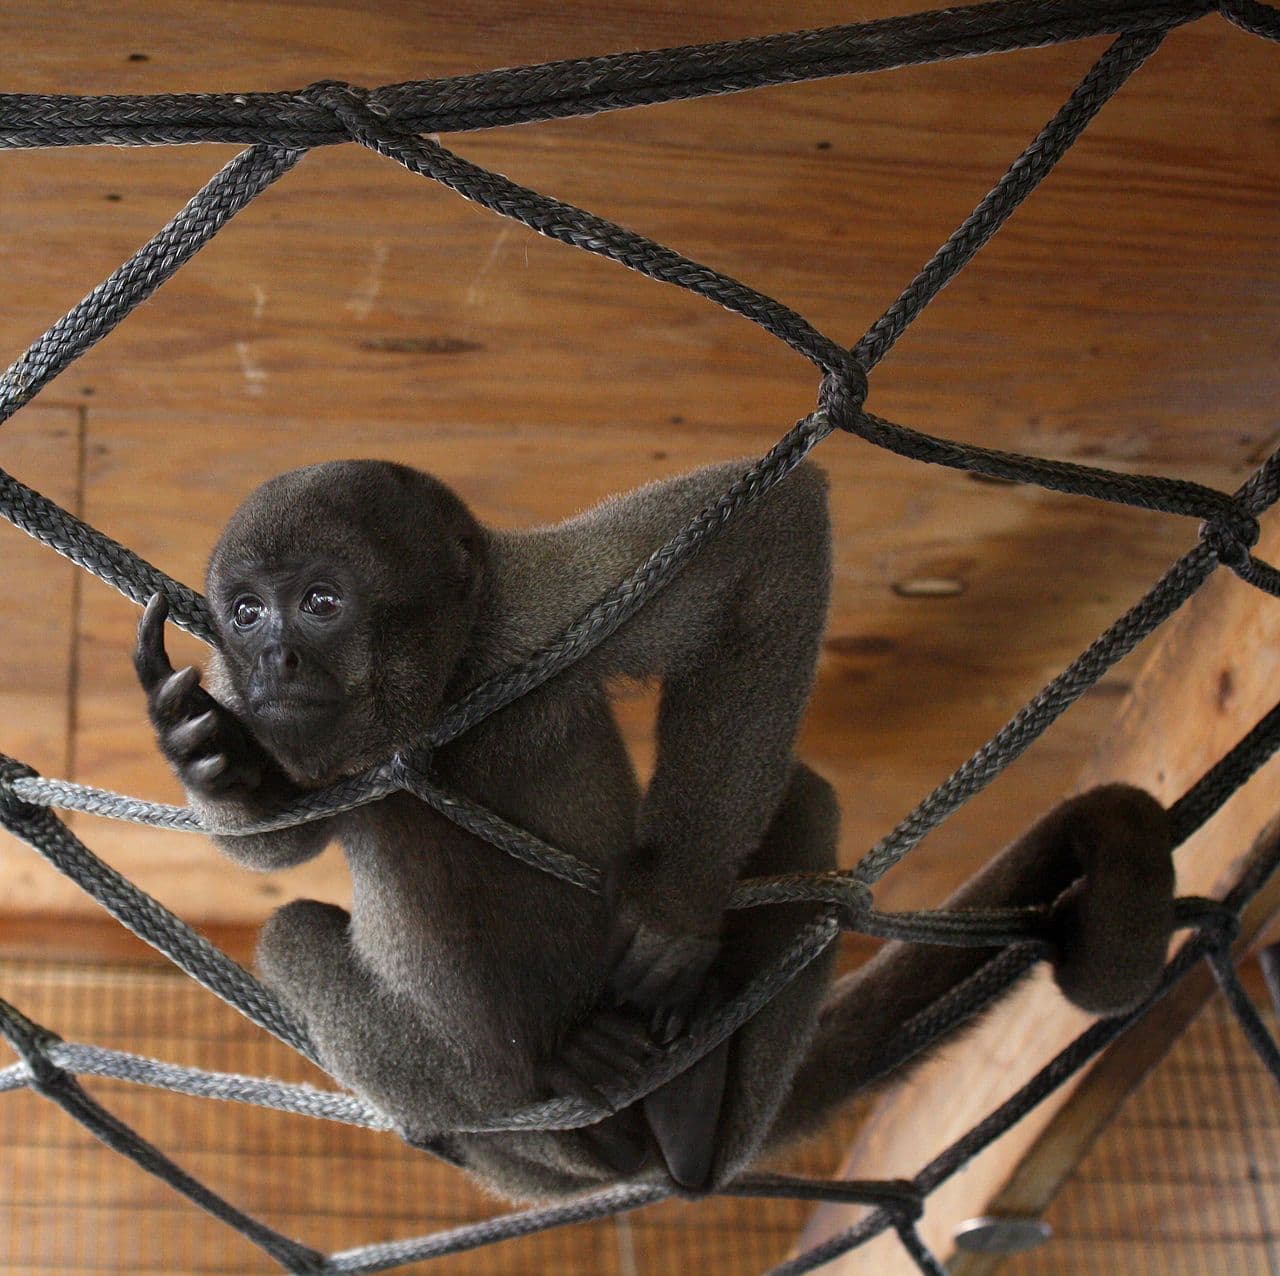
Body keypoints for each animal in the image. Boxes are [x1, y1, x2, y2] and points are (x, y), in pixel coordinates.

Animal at [134, 458, 1176, 1203]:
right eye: (244, 611)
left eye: (320, 602)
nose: (271, 659)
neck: (440, 701)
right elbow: (268, 845)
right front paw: (211, 755)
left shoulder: (549, 609)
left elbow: (769, 532)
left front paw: (672, 911)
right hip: (517, 1151)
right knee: (295, 936)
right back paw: (570, 1082)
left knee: (804, 796)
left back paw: (692, 1110)